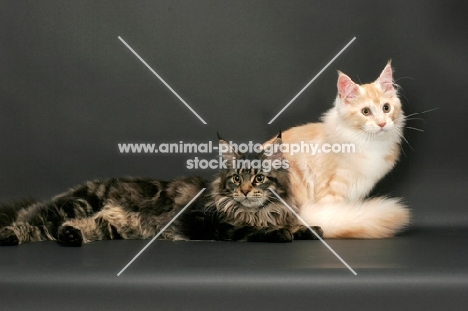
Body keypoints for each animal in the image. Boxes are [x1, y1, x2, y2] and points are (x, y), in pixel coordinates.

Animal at [266, 62, 410, 239]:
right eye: (366, 111)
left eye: (386, 108)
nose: (382, 123)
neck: (368, 143)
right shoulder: (330, 190)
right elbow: (334, 215)